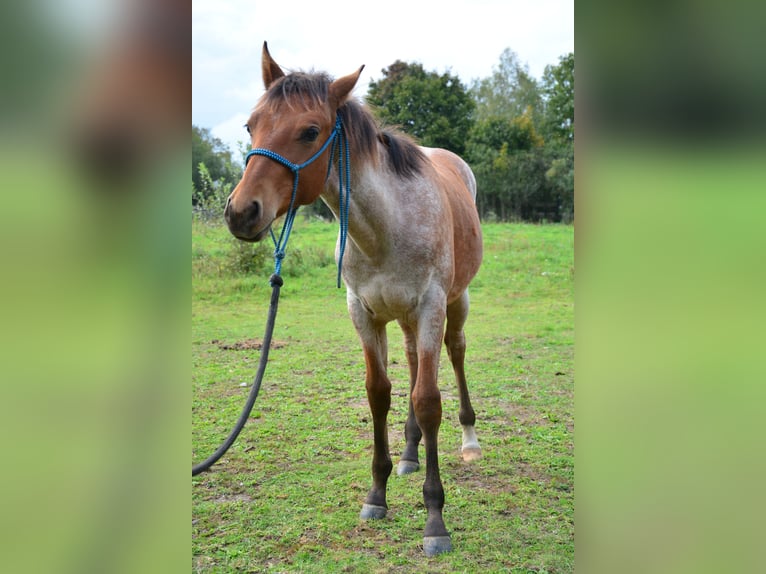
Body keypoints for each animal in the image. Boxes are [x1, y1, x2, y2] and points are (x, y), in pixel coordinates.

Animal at [224, 42, 483, 557]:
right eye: (250, 125)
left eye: (310, 131)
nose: (242, 212)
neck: (385, 228)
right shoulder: (363, 313)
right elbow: (380, 393)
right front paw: (377, 493)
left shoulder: (431, 307)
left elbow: (429, 400)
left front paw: (435, 519)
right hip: (405, 319)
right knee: (413, 362)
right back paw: (409, 453)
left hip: (455, 303)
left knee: (455, 354)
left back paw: (468, 440)